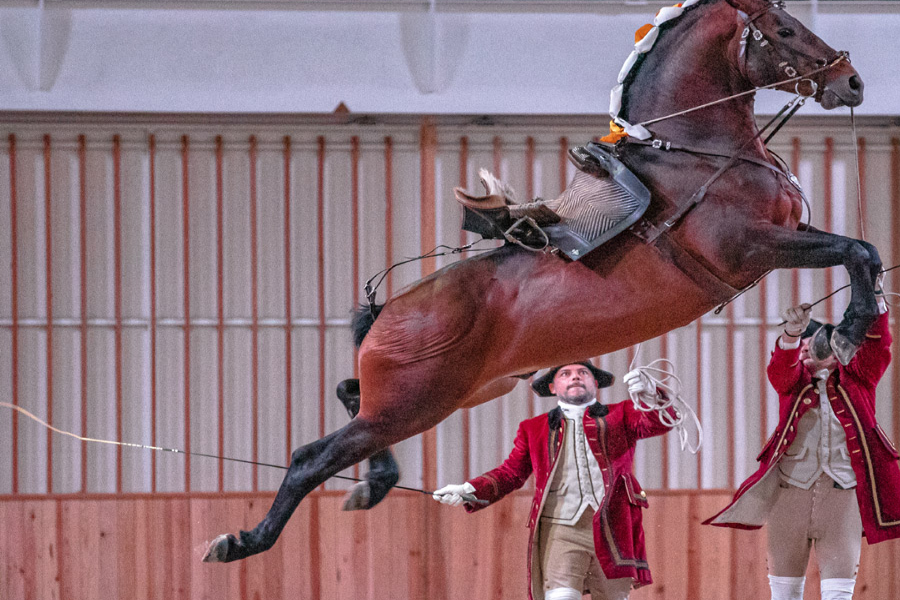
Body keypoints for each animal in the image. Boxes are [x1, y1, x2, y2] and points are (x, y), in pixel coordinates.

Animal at [206, 0, 880, 564]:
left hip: (458, 392)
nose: (852, 82)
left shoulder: (780, 241)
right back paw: (244, 541)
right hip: (413, 404)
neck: (697, 153)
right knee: (309, 458)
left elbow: (859, 250)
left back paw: (371, 485)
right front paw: (851, 328)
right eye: (784, 30)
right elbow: (857, 249)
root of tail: (388, 309)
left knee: (350, 394)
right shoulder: (752, 249)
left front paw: (842, 329)